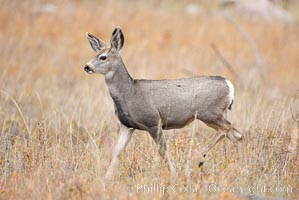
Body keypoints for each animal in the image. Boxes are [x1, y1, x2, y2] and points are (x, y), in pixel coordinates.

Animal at [84, 26, 244, 178]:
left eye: (103, 57)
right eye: (95, 54)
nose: (87, 67)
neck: (129, 93)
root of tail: (229, 85)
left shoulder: (153, 121)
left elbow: (162, 150)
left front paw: (174, 174)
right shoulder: (127, 125)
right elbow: (117, 151)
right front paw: (106, 178)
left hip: (210, 113)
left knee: (229, 131)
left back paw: (196, 161)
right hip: (215, 115)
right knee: (235, 134)